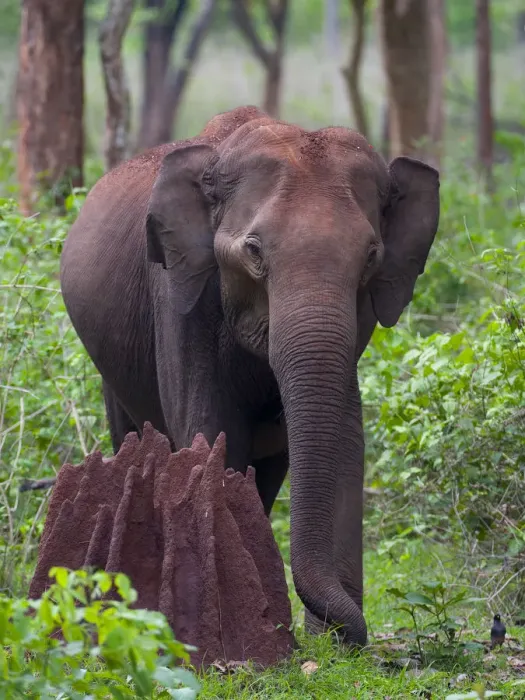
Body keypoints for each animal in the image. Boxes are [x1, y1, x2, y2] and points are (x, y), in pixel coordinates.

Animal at [60, 105, 440, 646]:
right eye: (254, 250)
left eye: (371, 256)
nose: (351, 634)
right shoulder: (179, 290)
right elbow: (212, 430)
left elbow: (347, 442)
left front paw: (327, 645)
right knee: (133, 431)